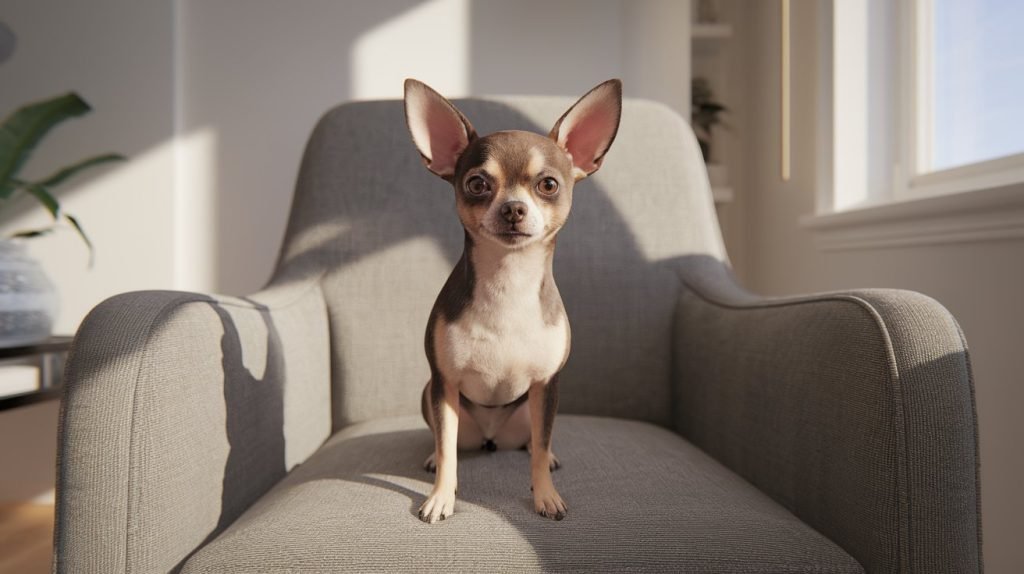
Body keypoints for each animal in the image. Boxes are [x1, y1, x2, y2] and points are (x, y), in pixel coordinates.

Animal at [403, 78, 618, 521]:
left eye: (548, 185)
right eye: (477, 184)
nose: (513, 208)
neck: (508, 281)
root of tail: (491, 438)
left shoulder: (547, 385)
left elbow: (540, 446)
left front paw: (545, 495)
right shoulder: (444, 383)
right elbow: (448, 450)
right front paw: (441, 497)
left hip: (531, 408)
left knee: (534, 441)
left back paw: (546, 456)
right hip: (433, 396)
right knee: (447, 441)